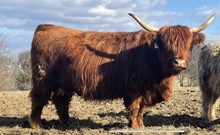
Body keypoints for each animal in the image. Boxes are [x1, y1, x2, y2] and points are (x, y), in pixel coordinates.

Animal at [28, 12, 215, 129]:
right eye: (165, 44)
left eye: (188, 45)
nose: (178, 61)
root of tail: (46, 26)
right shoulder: (133, 89)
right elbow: (134, 108)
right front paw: (133, 127)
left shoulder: (145, 91)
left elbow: (141, 110)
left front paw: (141, 125)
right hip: (43, 79)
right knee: (38, 99)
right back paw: (37, 126)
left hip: (64, 84)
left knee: (61, 101)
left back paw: (67, 124)